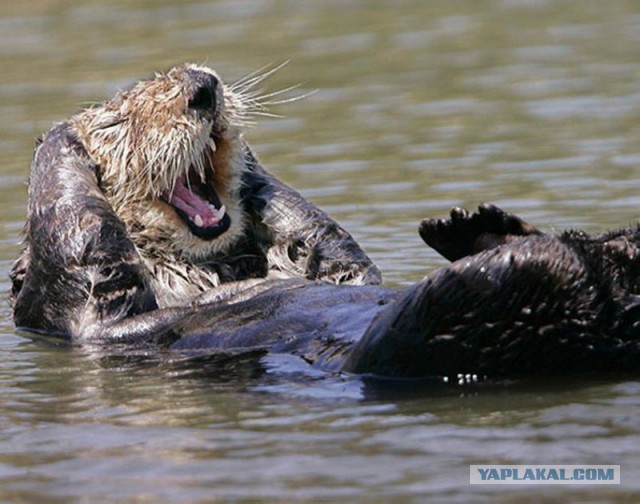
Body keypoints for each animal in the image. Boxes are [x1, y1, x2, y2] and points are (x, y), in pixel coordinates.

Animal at [8, 63, 640, 378]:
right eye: (121, 122)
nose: (202, 88)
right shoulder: (80, 312)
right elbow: (81, 247)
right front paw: (61, 139)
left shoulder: (335, 261)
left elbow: (331, 250)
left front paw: (256, 176)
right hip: (443, 332)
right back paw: (506, 245)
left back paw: (478, 227)